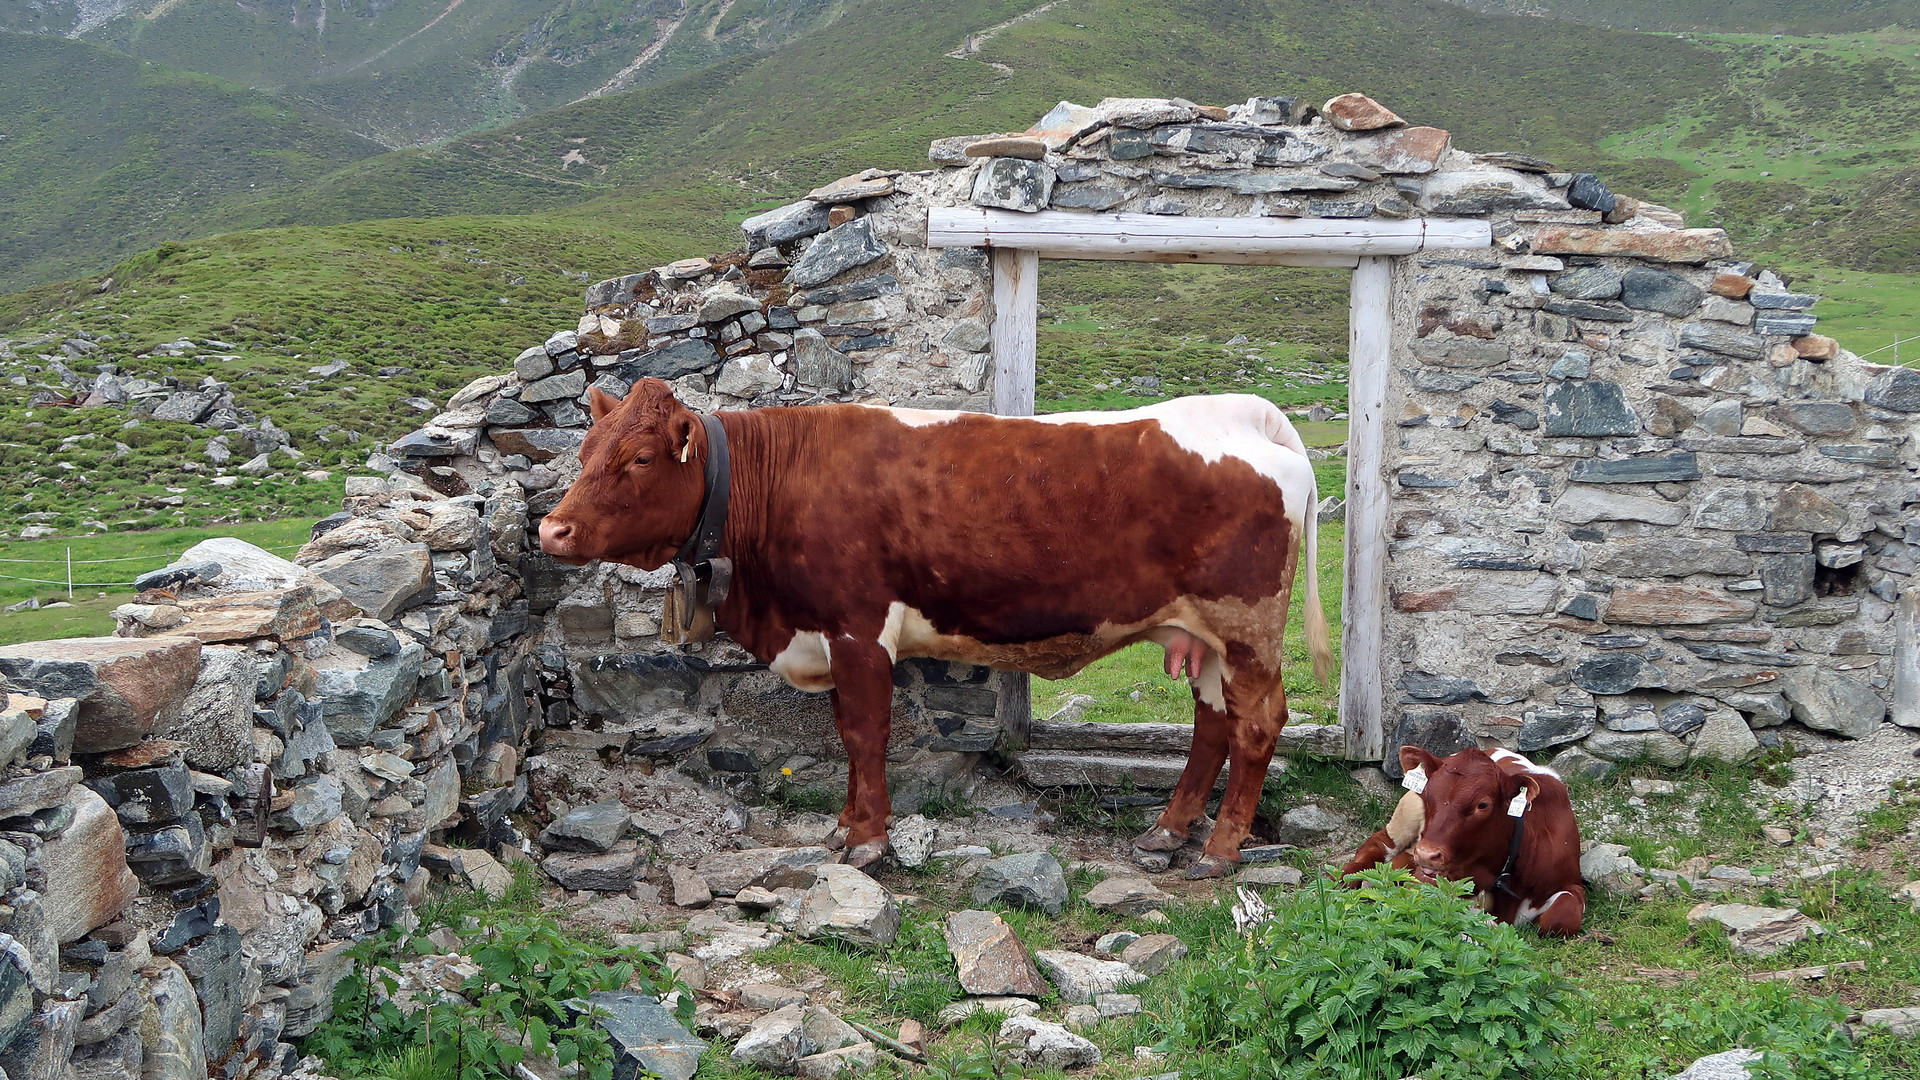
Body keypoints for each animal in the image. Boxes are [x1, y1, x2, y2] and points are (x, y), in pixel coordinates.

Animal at [533, 378, 1328, 876]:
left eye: (639, 457)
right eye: (584, 451)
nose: (551, 530)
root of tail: (1246, 414)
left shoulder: (858, 629)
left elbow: (865, 733)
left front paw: (869, 841)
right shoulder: (829, 634)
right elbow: (846, 734)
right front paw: (847, 825)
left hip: (1248, 627)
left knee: (1258, 724)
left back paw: (1221, 849)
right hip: (1205, 636)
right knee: (1213, 722)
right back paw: (1167, 831)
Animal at [1336, 745, 1589, 930]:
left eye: (1483, 804)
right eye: (1428, 794)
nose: (1426, 854)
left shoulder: (1571, 882)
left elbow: (1562, 917)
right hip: (1405, 817)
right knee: (1378, 845)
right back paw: (1345, 876)